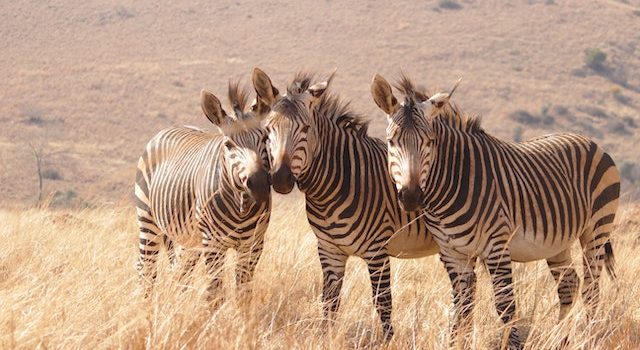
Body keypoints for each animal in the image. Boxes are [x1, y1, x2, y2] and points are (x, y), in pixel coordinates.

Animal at [135, 81, 270, 298]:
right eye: (228, 144)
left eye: (265, 138)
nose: (259, 184)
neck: (241, 205)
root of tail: (172, 127)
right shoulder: (214, 244)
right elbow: (215, 292)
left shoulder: (254, 245)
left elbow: (244, 292)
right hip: (148, 221)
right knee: (146, 267)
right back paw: (145, 303)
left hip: (189, 240)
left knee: (180, 271)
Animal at [250, 67, 440, 340]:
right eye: (268, 130)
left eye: (306, 128)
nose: (280, 179)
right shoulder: (329, 250)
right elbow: (330, 301)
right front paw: (325, 338)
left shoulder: (377, 250)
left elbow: (383, 303)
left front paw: (389, 341)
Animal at [370, 73, 620, 348]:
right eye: (391, 142)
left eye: (430, 142)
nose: (411, 197)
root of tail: (589, 140)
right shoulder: (453, 253)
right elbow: (462, 308)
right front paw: (458, 344)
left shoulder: (496, 246)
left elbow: (505, 307)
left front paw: (513, 344)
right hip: (558, 242)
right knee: (569, 284)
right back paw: (560, 340)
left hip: (596, 230)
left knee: (591, 290)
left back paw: (589, 338)